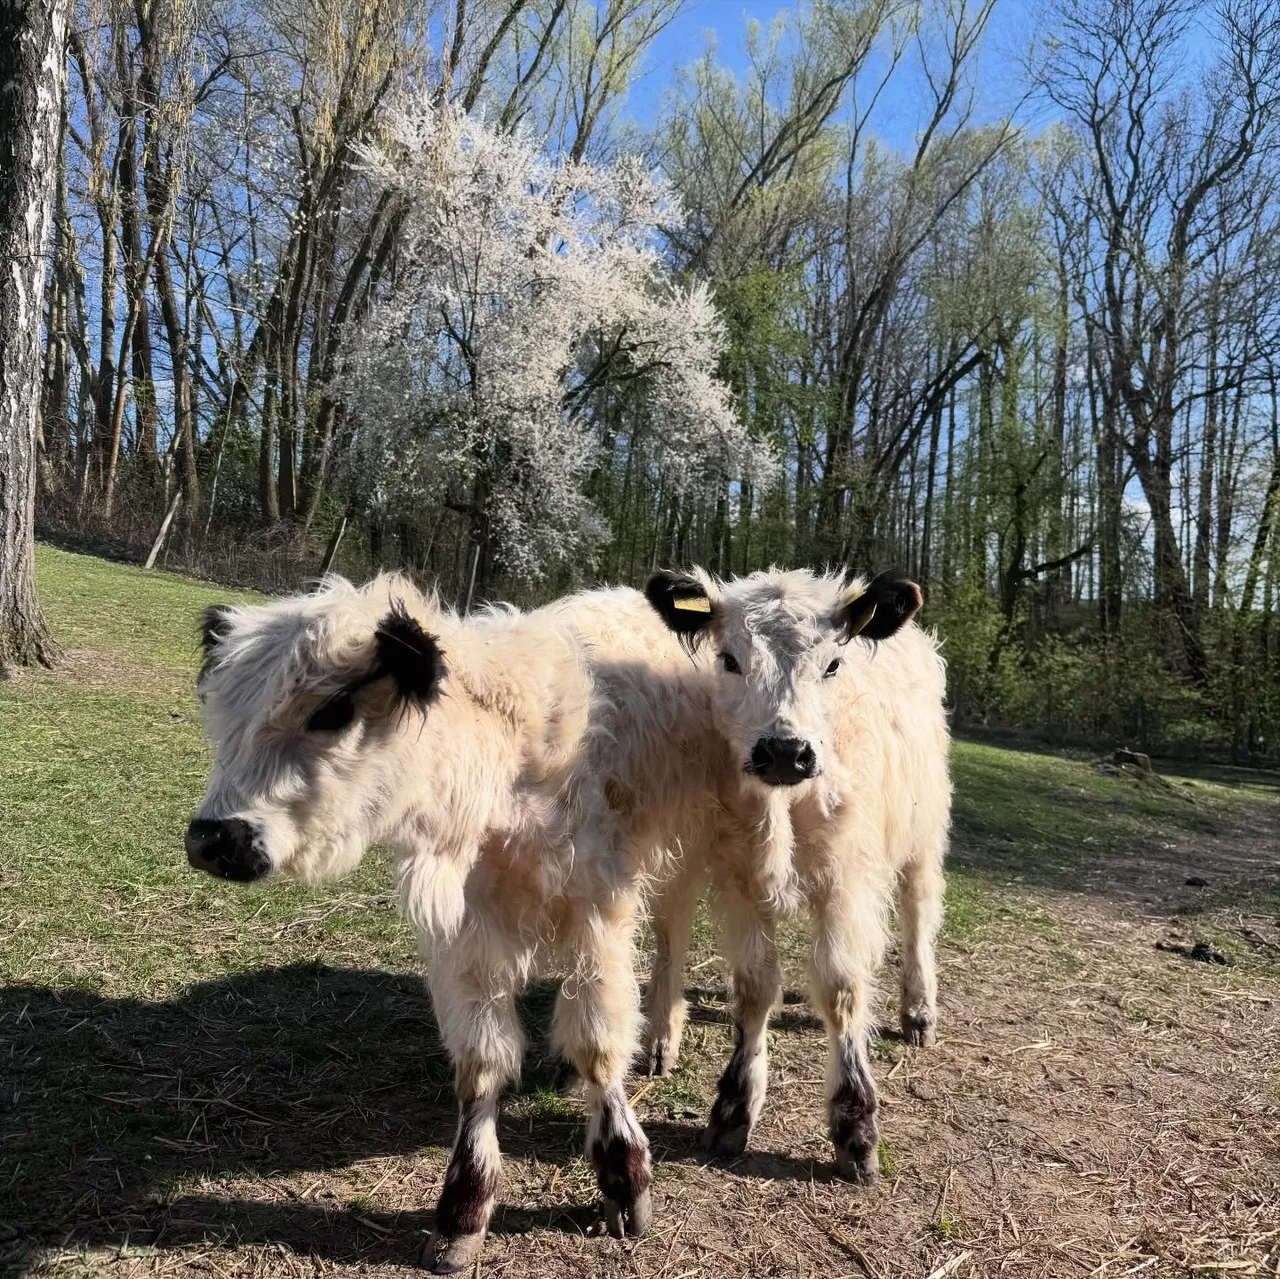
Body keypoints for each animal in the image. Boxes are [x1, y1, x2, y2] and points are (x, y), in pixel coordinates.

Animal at [186, 573, 718, 1272]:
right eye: (222, 712)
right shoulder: (465, 939)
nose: (211, 838)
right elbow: (481, 1063)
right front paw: (465, 1208)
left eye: (332, 710)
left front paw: (624, 1177)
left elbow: (600, 1043)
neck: (506, 769)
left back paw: (659, 1037)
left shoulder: (597, 915)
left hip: (683, 850)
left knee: (672, 936)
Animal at [640, 567, 951, 1183]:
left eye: (833, 663)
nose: (785, 750)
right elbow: (754, 987)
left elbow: (842, 989)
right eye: (729, 659)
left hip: (923, 836)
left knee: (919, 918)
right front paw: (734, 1106)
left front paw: (856, 1126)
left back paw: (918, 1011)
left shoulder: (846, 884)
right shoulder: (740, 882)